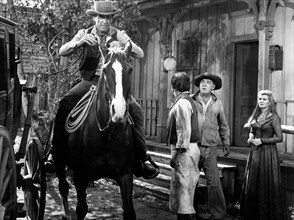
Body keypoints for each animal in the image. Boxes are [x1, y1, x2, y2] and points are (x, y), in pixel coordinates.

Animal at [55, 41, 137, 220]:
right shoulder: (80, 176)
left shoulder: (125, 175)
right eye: (105, 70)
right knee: (63, 187)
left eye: (130, 69)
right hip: (59, 160)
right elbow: (81, 209)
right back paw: (65, 213)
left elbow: (129, 212)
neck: (107, 135)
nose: (118, 111)